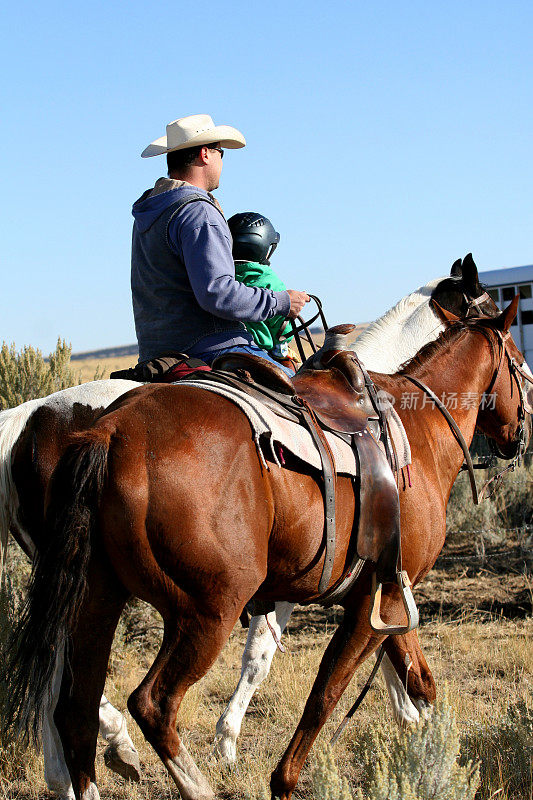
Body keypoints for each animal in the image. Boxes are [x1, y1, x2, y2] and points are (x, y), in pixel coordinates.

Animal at [0, 253, 490, 792]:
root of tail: (31, 417)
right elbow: (268, 656)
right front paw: (227, 741)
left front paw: (411, 718)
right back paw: (110, 754)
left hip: (77, 585)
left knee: (55, 680)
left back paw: (73, 771)